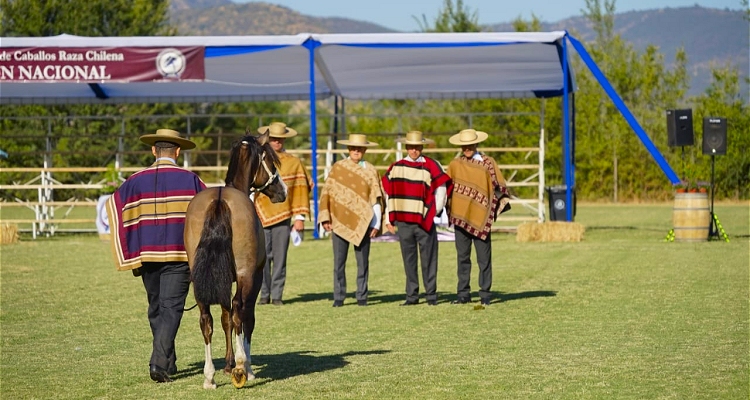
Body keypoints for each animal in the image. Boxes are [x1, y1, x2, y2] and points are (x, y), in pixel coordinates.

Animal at [184, 130, 286, 390]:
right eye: (271, 162)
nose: (283, 190)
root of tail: (219, 199)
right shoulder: (254, 277)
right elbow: (244, 318)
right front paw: (243, 366)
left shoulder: (220, 279)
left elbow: (225, 318)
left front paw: (228, 364)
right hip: (246, 275)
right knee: (241, 311)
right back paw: (242, 368)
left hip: (200, 281)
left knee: (206, 319)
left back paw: (209, 376)